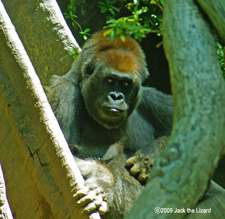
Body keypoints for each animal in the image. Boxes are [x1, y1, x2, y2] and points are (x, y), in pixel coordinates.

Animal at [45, 31, 172, 219]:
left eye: (126, 84)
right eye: (110, 80)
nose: (116, 96)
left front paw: (149, 156)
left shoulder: (150, 97)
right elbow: (60, 158)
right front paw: (104, 179)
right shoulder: (64, 92)